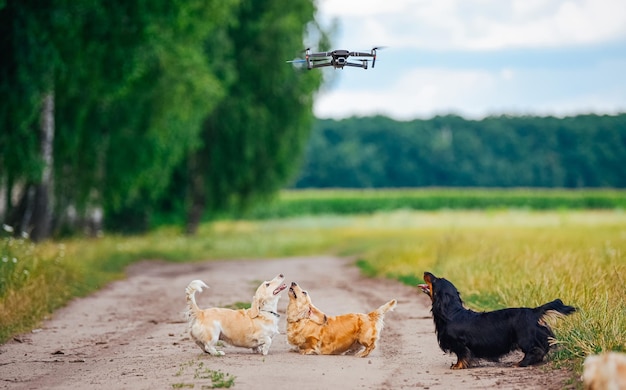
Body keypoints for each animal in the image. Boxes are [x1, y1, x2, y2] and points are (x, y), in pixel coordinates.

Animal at [416, 272, 572, 368]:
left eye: (435, 279)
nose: (425, 272)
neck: (452, 313)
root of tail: (533, 311)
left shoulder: (459, 344)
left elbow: (462, 356)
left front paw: (458, 366)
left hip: (525, 338)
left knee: (536, 350)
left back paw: (520, 363)